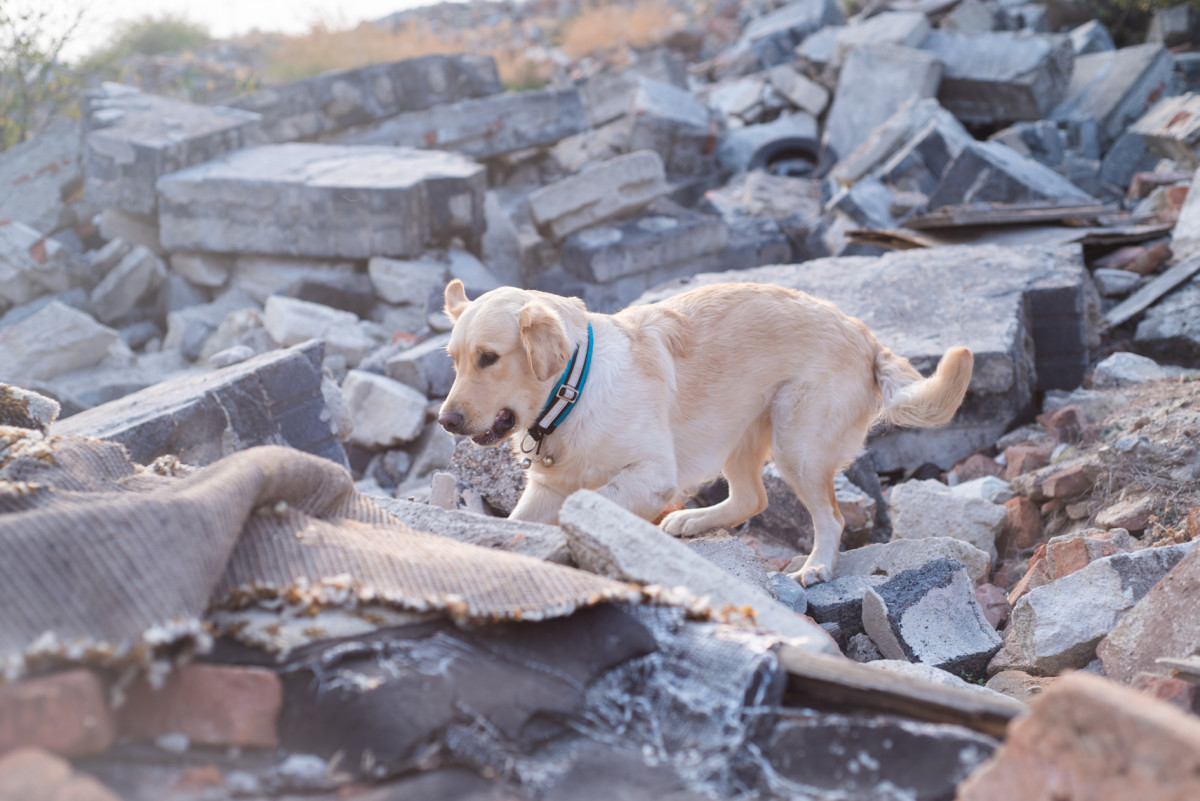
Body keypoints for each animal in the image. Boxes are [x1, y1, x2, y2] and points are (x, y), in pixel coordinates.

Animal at [441, 278, 974, 585]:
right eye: (454, 359)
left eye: (489, 358)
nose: (446, 420)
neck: (574, 388)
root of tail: (864, 334)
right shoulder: (544, 489)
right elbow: (519, 522)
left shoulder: (651, 476)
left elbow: (587, 501)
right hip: (740, 433)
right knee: (752, 498)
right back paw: (692, 522)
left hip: (796, 444)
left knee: (831, 518)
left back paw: (818, 566)